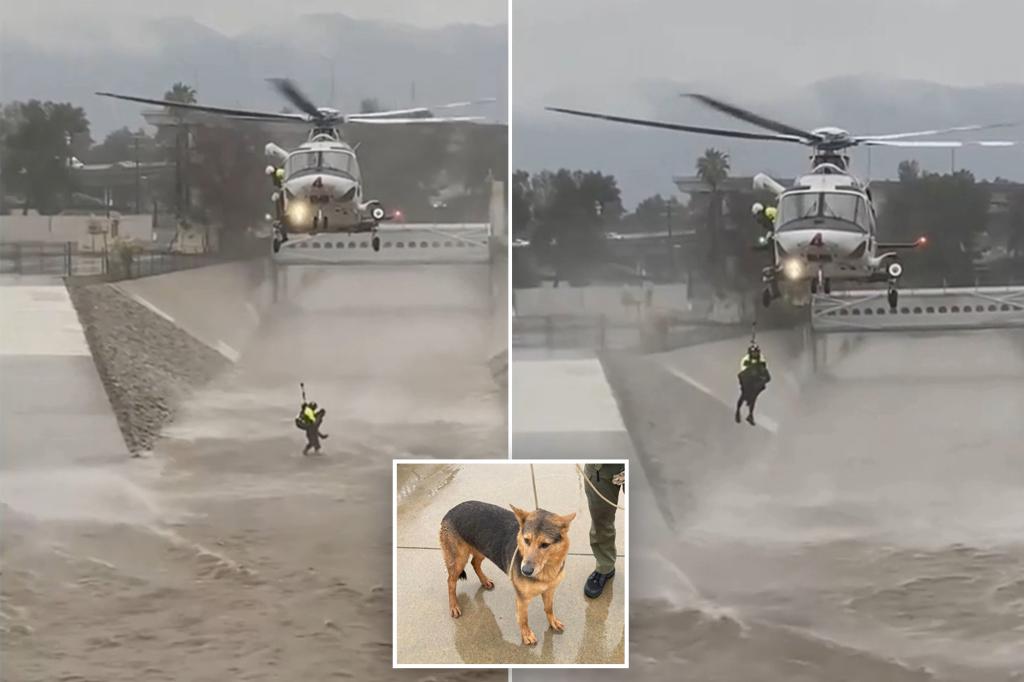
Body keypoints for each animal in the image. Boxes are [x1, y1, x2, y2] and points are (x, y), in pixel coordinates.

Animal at [440, 499, 577, 643]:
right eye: (526, 540)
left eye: (545, 545)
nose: (525, 571)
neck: (546, 570)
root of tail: (451, 510)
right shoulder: (522, 599)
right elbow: (523, 619)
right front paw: (526, 634)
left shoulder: (549, 590)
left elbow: (549, 608)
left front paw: (552, 622)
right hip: (459, 560)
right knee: (451, 581)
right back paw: (454, 606)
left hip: (483, 549)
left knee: (475, 563)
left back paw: (484, 581)